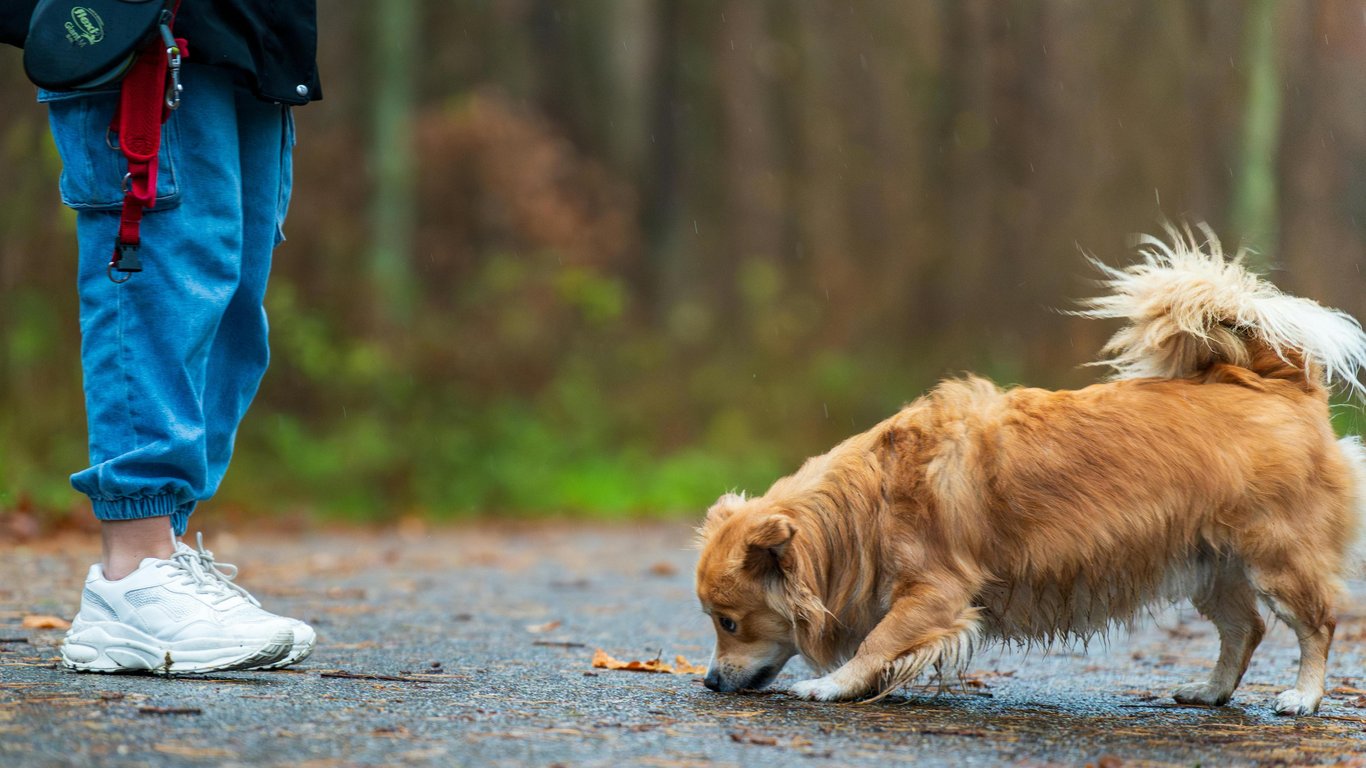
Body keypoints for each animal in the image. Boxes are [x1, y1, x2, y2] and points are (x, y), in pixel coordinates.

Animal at [693, 224, 1366, 716]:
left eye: (729, 622)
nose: (709, 682)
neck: (868, 503)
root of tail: (1276, 382)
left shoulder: (936, 593)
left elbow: (878, 639)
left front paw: (831, 684)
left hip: (1277, 560)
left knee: (1317, 624)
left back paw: (1304, 697)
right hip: (1209, 566)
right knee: (1244, 630)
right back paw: (1211, 692)